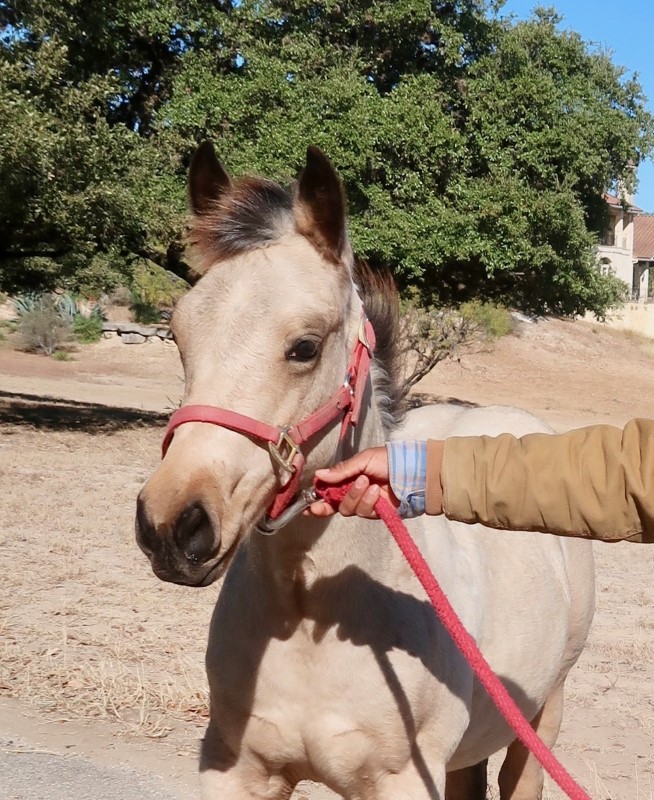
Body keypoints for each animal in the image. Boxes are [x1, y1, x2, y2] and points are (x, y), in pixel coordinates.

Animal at [136, 145, 596, 800]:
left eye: (304, 346)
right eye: (178, 334)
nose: (173, 526)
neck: (308, 620)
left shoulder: (404, 780)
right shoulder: (236, 768)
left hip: (540, 718)